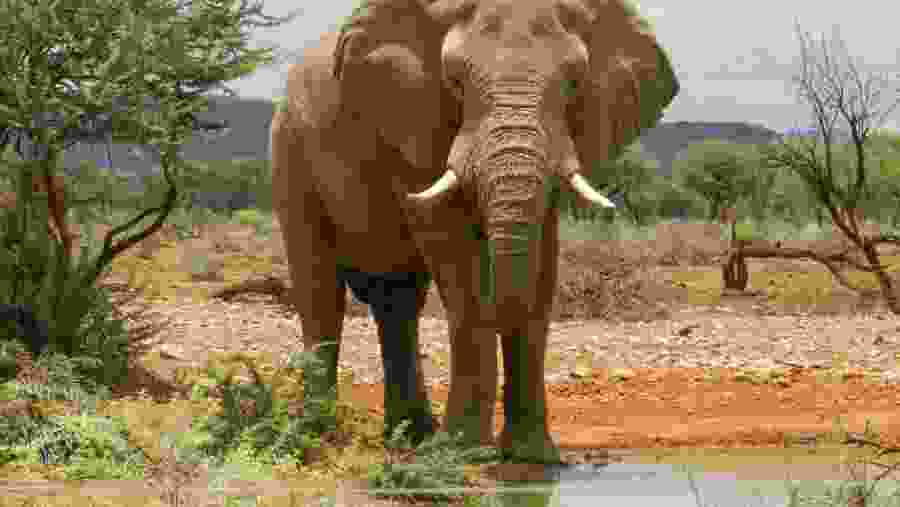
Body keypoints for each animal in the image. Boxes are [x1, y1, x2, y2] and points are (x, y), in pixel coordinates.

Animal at [270, 0, 678, 462]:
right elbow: (455, 256)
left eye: (575, 83)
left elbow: (543, 262)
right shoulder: (416, 129)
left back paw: (412, 438)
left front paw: (531, 457)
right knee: (319, 291)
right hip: (289, 153)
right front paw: (462, 453)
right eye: (454, 82)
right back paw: (316, 439)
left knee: (396, 298)